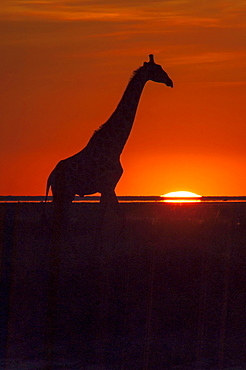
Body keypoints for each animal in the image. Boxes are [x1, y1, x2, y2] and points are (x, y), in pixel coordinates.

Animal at [45, 54, 173, 220]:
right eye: (157, 69)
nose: (170, 82)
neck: (116, 147)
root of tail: (51, 176)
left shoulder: (111, 187)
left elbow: (120, 216)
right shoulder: (107, 186)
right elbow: (100, 219)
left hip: (66, 195)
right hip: (63, 193)